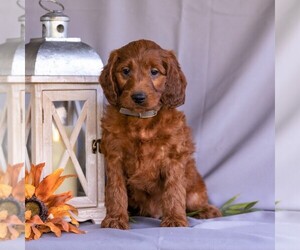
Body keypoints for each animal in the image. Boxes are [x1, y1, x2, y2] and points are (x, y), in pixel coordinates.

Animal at [98, 39, 220, 229]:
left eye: (154, 72)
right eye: (126, 71)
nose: (138, 97)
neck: (141, 121)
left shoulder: (173, 156)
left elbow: (173, 190)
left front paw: (175, 219)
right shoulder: (114, 156)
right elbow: (115, 190)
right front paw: (116, 218)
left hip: (194, 188)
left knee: (195, 201)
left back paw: (207, 210)